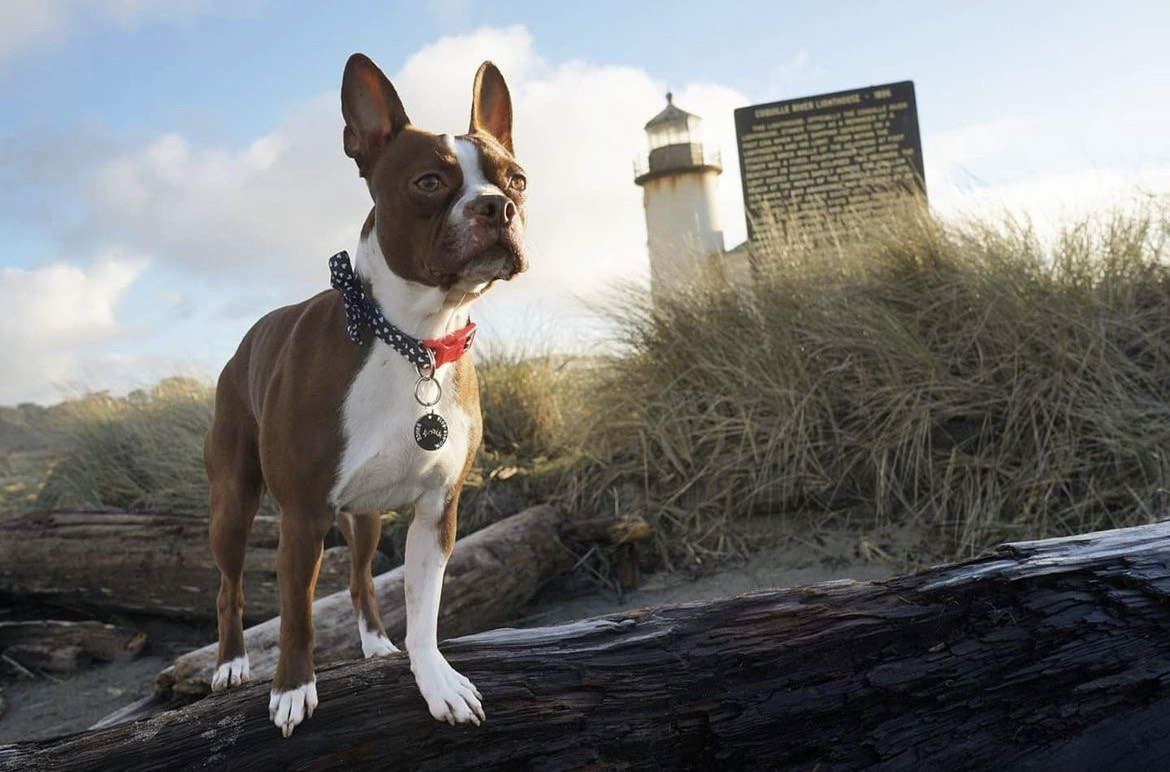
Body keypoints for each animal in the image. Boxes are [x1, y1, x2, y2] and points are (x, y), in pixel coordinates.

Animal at [204, 52, 526, 734]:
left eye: (517, 180)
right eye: (429, 182)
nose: (495, 207)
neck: (413, 340)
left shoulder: (436, 512)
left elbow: (424, 613)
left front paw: (436, 681)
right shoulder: (301, 517)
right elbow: (297, 617)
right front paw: (292, 688)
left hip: (366, 515)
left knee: (359, 578)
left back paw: (375, 642)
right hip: (234, 503)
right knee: (230, 587)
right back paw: (231, 664)